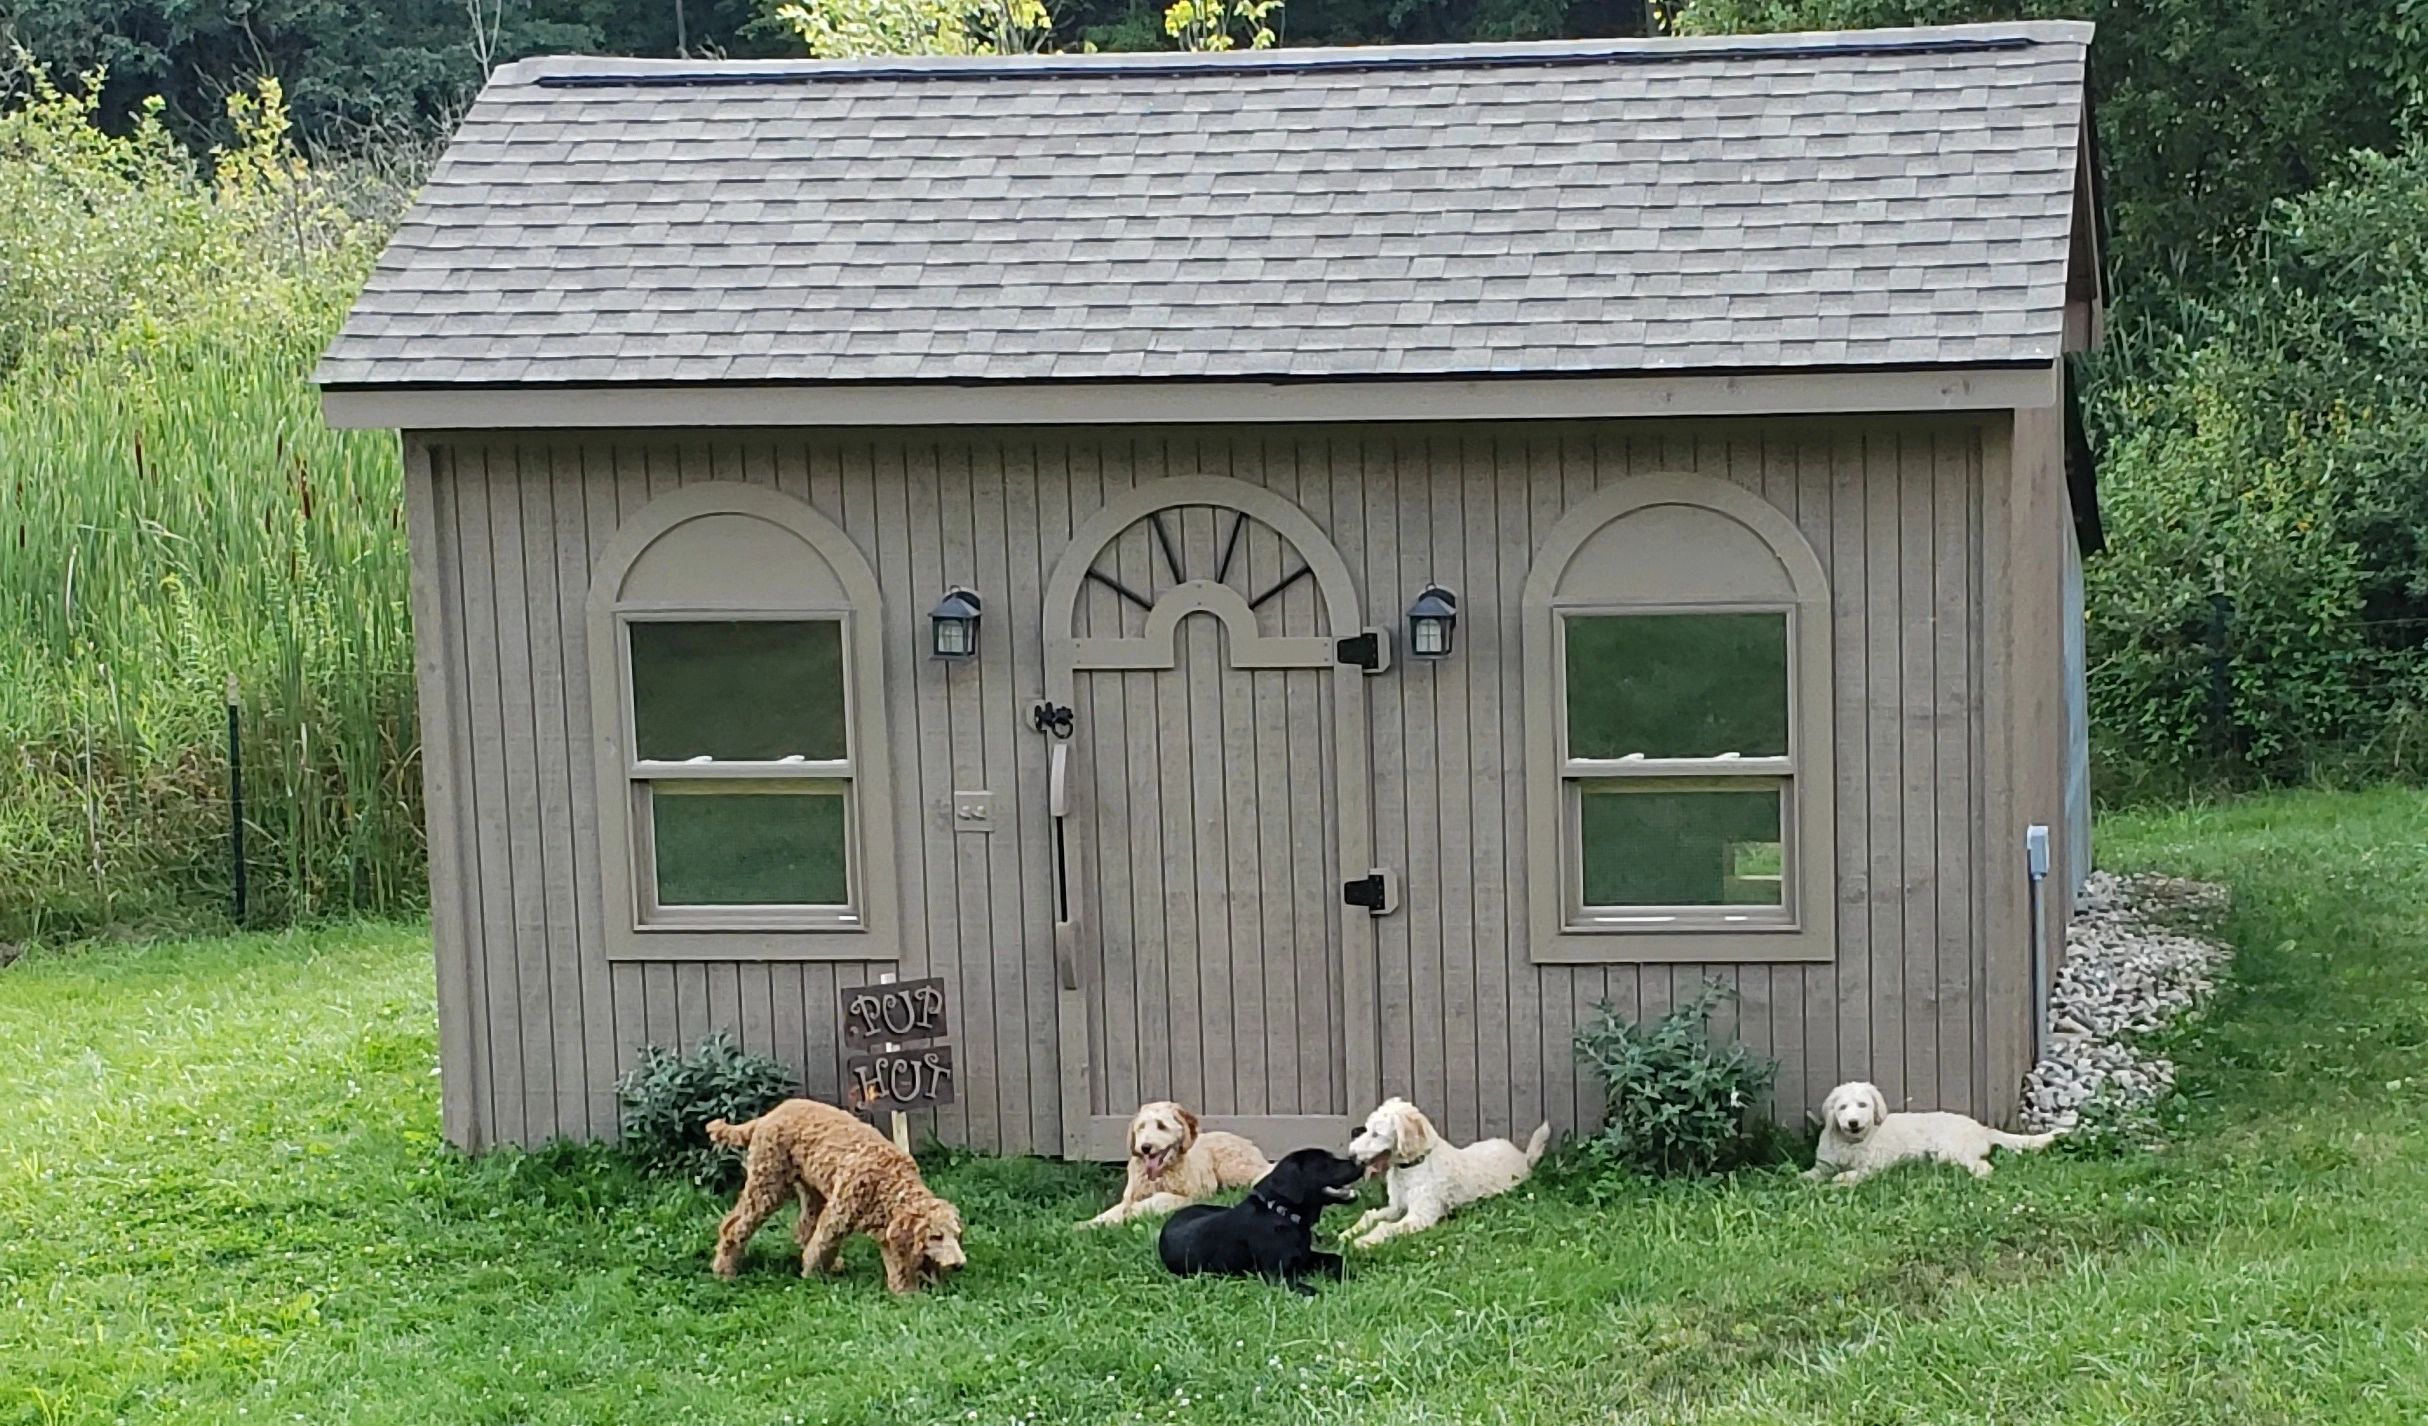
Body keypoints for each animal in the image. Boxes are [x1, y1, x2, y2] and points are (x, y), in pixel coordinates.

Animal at [708, 1093, 961, 1292]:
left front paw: (907, 1292)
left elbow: (898, 1264)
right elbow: (822, 1246)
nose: (959, 1265)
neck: (890, 1181)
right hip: (768, 1185)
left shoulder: (886, 1230)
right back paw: (724, 1271)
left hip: (810, 1191)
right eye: (936, 1237)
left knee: (802, 1229)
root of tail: (767, 1116)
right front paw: (811, 1276)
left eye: (956, 1235)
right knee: (734, 1227)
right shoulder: (837, 1217)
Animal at [1340, 1098, 1544, 1243]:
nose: (1351, 1155)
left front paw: (1363, 1241)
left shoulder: (1422, 1216)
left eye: (1376, 1134)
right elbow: (1370, 1216)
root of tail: (1524, 1157)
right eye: (1367, 1130)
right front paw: (1347, 1233)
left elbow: (1385, 1226)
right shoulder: (1396, 1207)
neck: (1413, 1165)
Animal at [1816, 1078, 2058, 1190]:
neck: (1851, 1142)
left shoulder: (1873, 1166)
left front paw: (1841, 1179)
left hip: (1955, 1150)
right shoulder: (1823, 1165)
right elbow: (1813, 1174)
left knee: (1983, 1166)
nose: (1853, 1122)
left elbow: (1855, 1174)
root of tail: (1982, 1129)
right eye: (1842, 1107)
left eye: (1863, 1105)